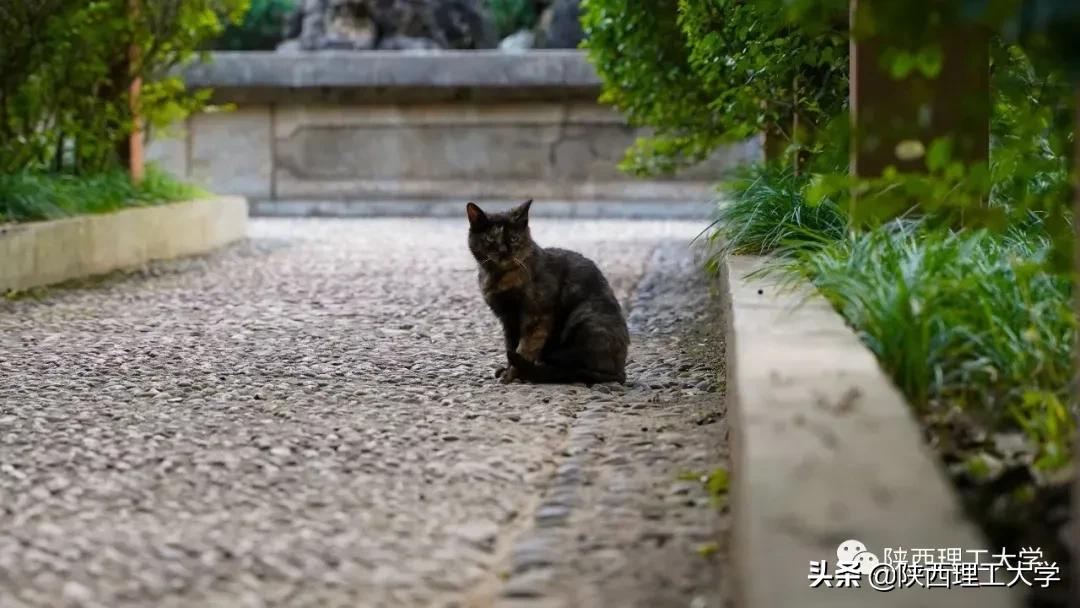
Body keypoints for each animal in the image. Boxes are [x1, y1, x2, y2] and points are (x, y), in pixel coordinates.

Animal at [466, 199, 630, 384]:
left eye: (514, 238)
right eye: (489, 238)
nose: (503, 251)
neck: (498, 277)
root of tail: (621, 370)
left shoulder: (536, 317)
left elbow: (524, 348)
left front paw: (512, 375)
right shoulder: (507, 319)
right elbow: (511, 344)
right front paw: (508, 370)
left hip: (585, 318)